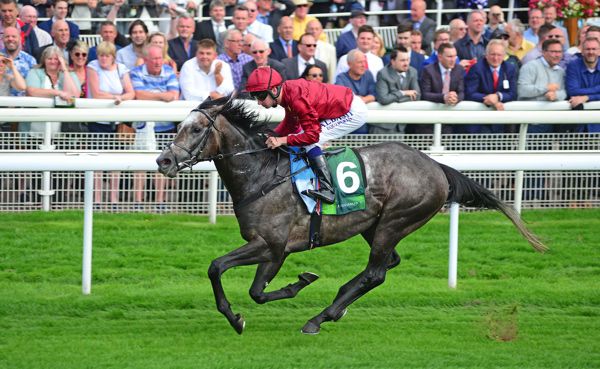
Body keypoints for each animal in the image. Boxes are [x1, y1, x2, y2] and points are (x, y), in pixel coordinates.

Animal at [156, 95, 548, 334]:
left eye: (195, 128)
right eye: (178, 126)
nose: (163, 161)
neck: (262, 175)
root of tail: (436, 166)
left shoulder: (270, 244)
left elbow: (217, 268)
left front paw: (236, 317)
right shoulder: (276, 251)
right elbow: (257, 291)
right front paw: (298, 283)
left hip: (396, 219)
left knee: (376, 272)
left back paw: (320, 317)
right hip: (373, 225)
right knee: (387, 264)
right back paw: (338, 305)